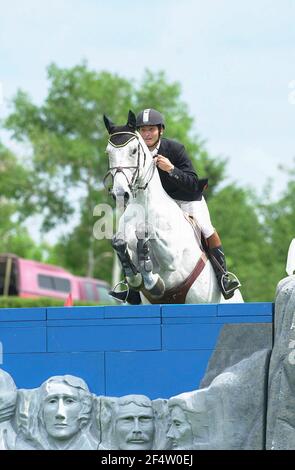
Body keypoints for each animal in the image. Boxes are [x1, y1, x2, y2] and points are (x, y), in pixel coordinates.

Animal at [103, 113, 243, 304]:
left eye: (133, 151)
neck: (145, 205)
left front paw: (153, 281)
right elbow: (119, 244)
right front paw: (141, 279)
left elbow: (148, 236)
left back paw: (228, 284)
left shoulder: (173, 258)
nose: (119, 193)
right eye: (108, 152)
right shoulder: (124, 241)